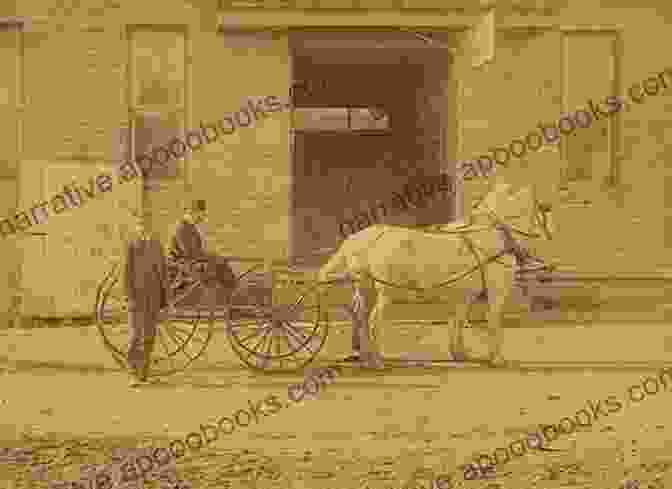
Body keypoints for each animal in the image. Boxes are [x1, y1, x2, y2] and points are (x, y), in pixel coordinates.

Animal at [320, 183, 556, 366]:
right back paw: (377, 360)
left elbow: (457, 322)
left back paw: (363, 356)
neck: (494, 232)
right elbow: (493, 320)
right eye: (541, 209)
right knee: (373, 320)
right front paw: (497, 359)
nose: (551, 232)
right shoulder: (497, 291)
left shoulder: (463, 296)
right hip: (386, 292)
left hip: (364, 287)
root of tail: (360, 239)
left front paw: (460, 354)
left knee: (359, 315)